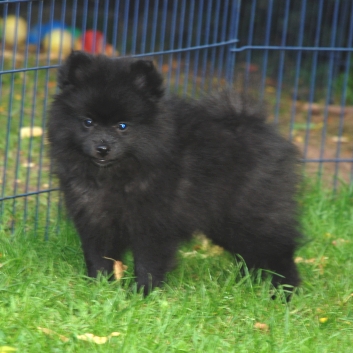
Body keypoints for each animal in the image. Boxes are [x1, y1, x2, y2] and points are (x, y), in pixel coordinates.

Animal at [46, 51, 302, 294]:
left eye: (122, 126)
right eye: (87, 122)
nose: (102, 148)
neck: (115, 176)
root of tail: (250, 123)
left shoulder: (153, 225)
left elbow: (148, 263)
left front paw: (142, 293)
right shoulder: (93, 218)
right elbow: (98, 257)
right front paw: (98, 286)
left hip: (250, 214)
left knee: (279, 251)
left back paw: (284, 291)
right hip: (226, 224)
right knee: (251, 254)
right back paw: (248, 282)